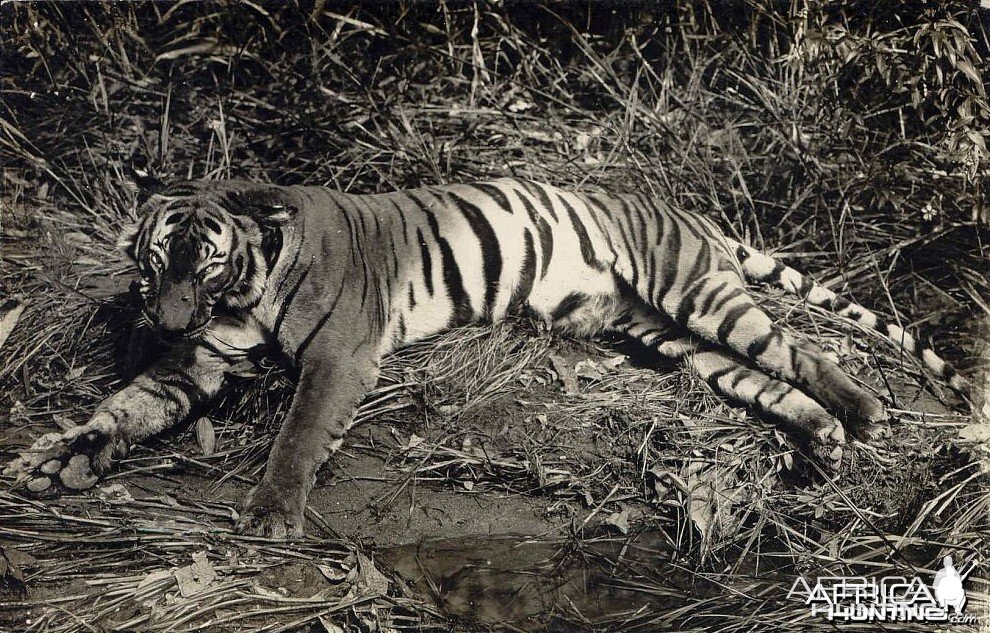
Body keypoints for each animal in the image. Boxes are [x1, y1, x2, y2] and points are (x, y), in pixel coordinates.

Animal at [3, 178, 968, 540]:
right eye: (152, 262)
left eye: (201, 264)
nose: (160, 316)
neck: (244, 290)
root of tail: (687, 210)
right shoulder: (195, 363)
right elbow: (122, 408)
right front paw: (58, 461)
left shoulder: (341, 358)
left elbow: (296, 436)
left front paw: (272, 513)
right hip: (668, 335)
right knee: (765, 376)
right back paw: (823, 438)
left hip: (695, 292)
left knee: (801, 345)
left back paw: (861, 412)